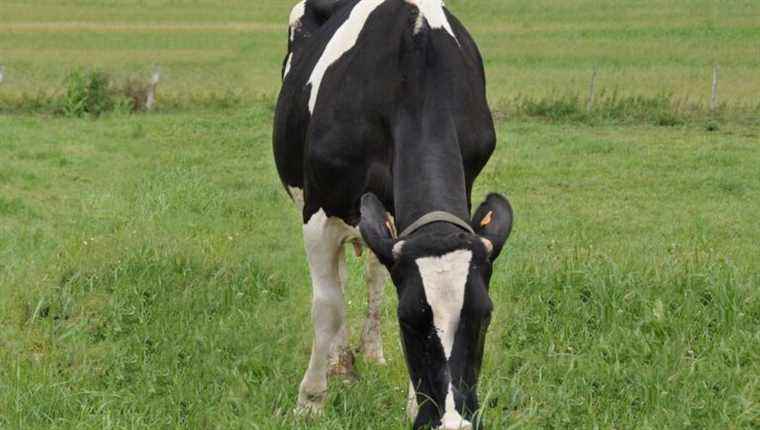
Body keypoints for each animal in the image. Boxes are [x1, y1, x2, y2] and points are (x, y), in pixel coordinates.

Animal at [270, 0, 512, 430]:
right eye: (409, 320)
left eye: (484, 315)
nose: (452, 422)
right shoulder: (317, 214)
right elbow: (327, 306)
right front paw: (311, 400)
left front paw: (413, 405)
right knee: (337, 284)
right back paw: (341, 361)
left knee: (372, 277)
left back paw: (368, 351)